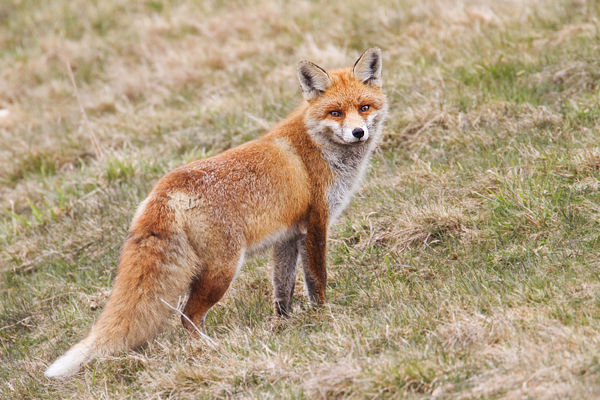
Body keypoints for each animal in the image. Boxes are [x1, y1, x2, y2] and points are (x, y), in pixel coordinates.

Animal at [43, 46, 390, 378]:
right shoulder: (316, 224)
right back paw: (212, 349)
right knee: (187, 316)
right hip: (223, 269)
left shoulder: (288, 236)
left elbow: (283, 288)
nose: (358, 133)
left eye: (364, 107)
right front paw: (323, 315)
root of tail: (164, 189)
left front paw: (283, 324)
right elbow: (317, 280)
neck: (318, 145)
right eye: (336, 112)